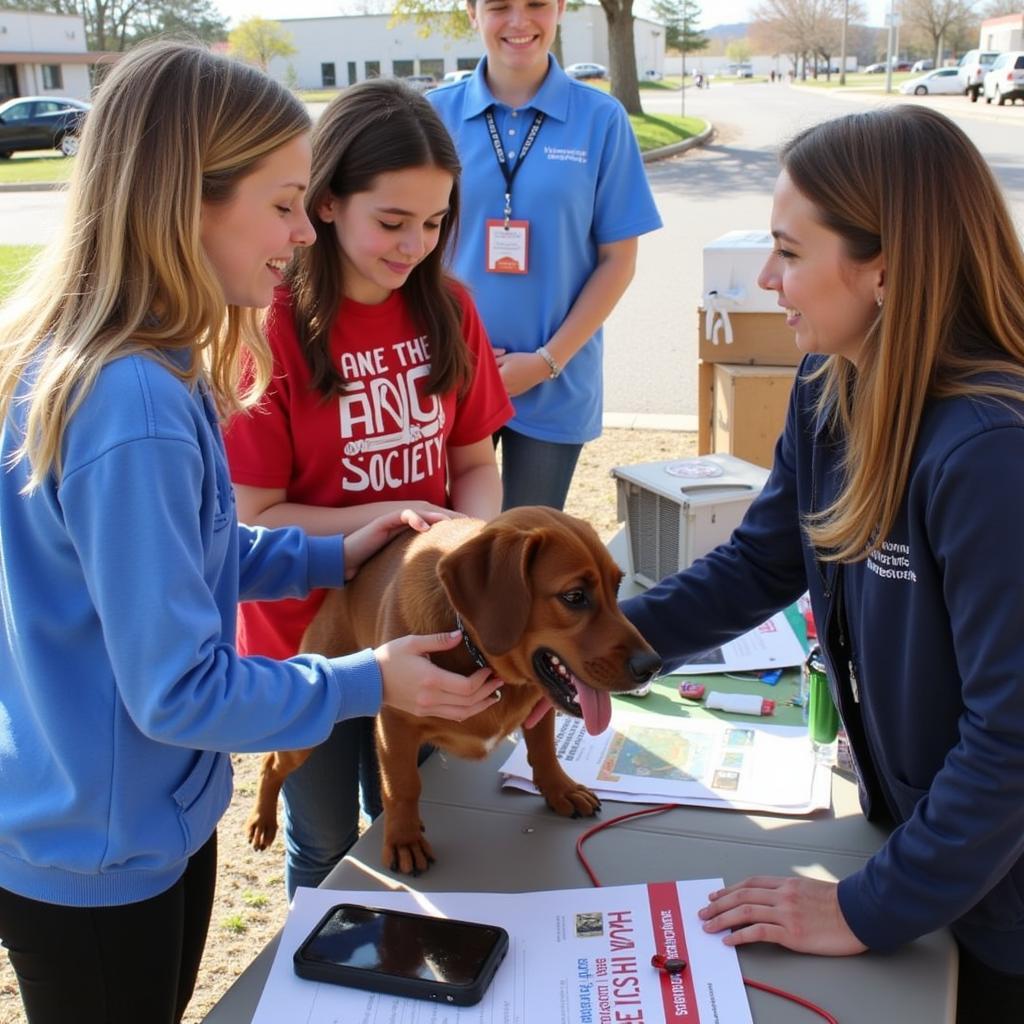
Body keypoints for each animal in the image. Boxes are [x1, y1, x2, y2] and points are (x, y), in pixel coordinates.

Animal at [247, 503, 663, 872]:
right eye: (574, 596)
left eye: (617, 586)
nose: (652, 665)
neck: (478, 654)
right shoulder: (395, 727)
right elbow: (403, 786)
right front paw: (403, 839)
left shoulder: (538, 707)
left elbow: (545, 750)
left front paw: (559, 789)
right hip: (311, 723)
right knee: (272, 763)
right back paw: (263, 821)